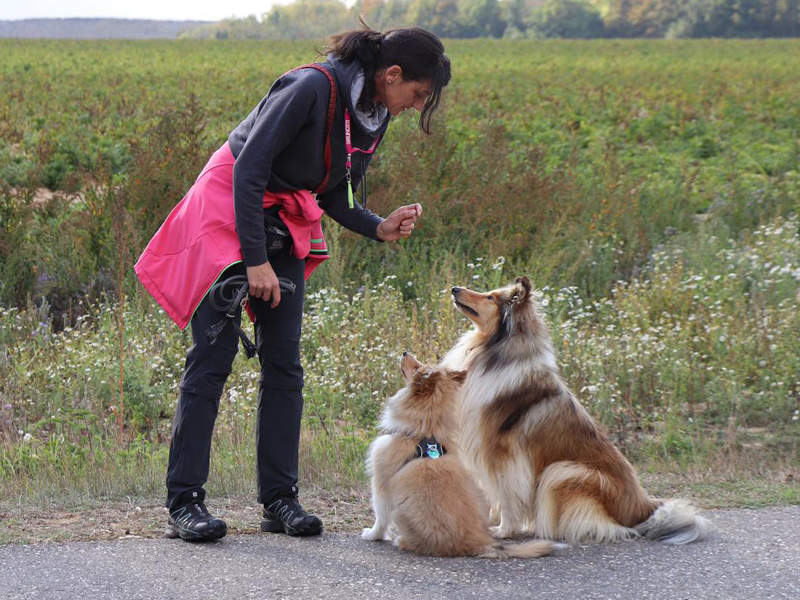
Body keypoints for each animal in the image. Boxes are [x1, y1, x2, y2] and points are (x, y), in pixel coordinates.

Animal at [360, 352, 552, 556]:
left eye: (418, 368)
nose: (405, 353)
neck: (424, 430)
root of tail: (481, 540)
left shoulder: (380, 484)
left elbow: (380, 517)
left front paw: (372, 535)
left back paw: (401, 540)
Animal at [440, 276, 708, 544]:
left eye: (491, 297)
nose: (454, 289)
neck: (493, 353)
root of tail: (642, 510)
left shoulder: (502, 455)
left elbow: (505, 495)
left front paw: (504, 530)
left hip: (563, 471)